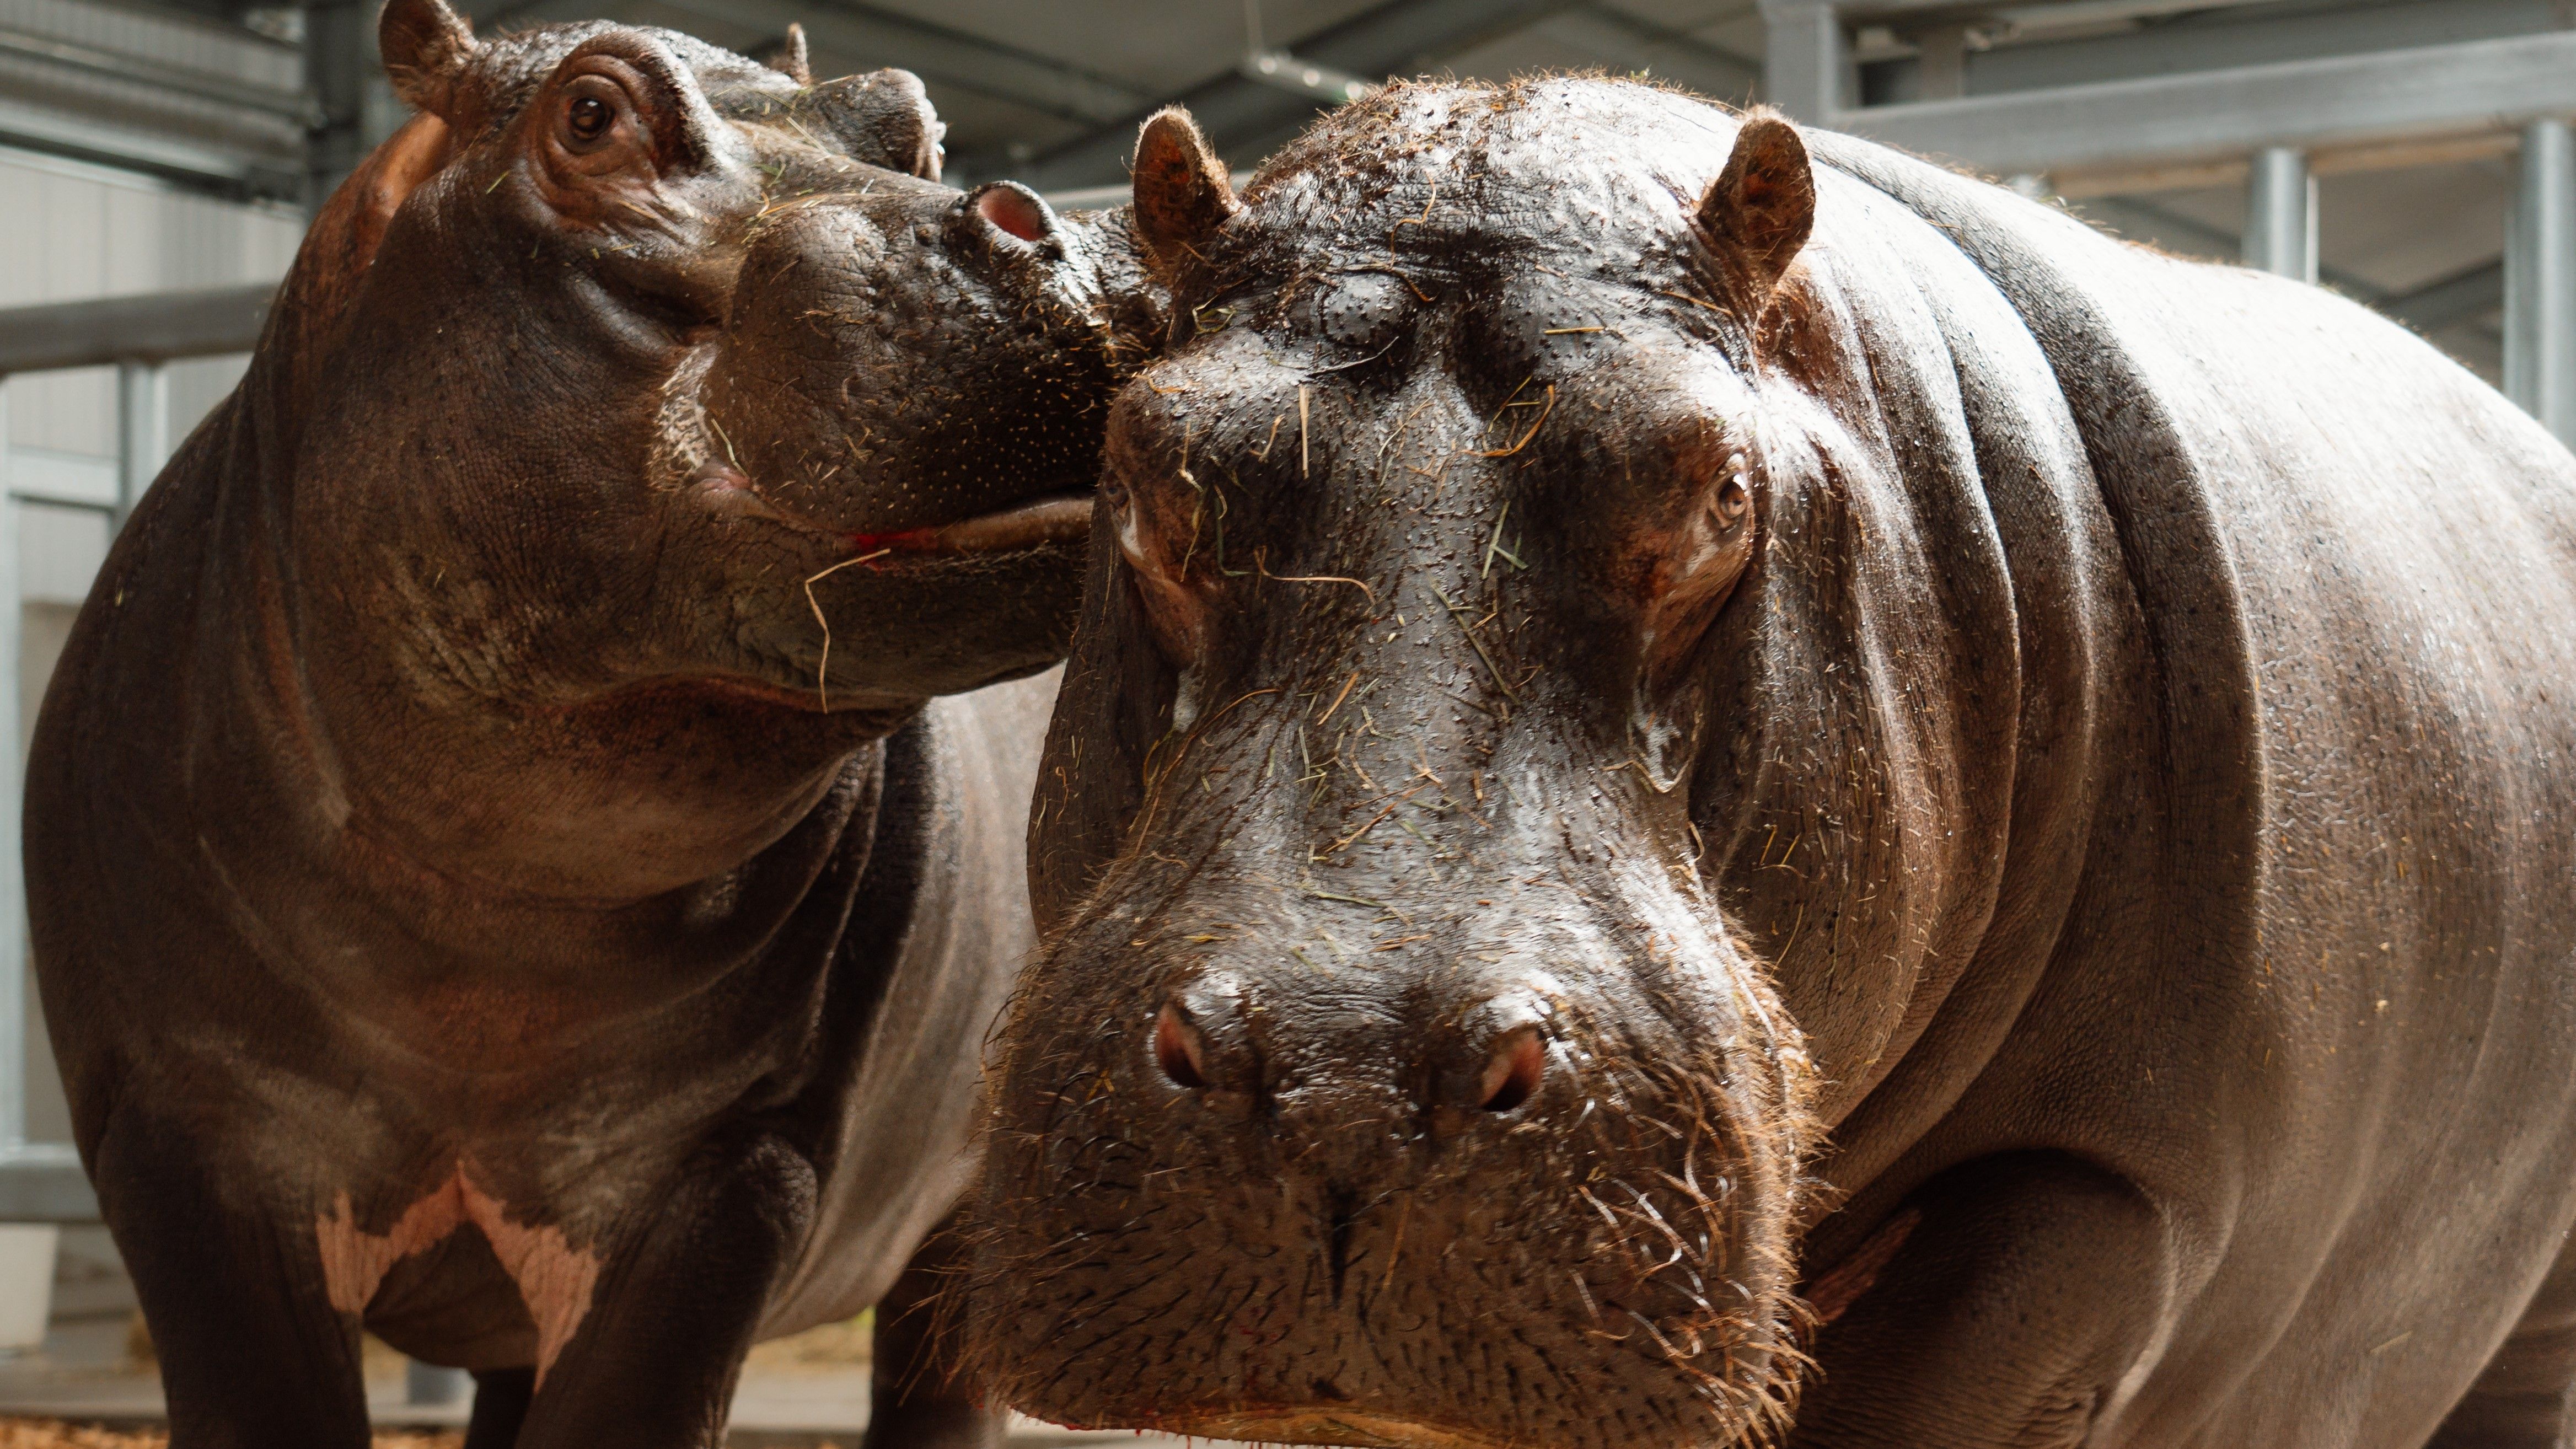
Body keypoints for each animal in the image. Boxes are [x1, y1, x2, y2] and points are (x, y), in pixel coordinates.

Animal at [22, 1, 1153, 1444]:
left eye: (913, 120)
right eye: (591, 113)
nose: (1051, 223)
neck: (479, 932)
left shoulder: (727, 1166)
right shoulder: (182, 1138)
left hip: (955, 1212)